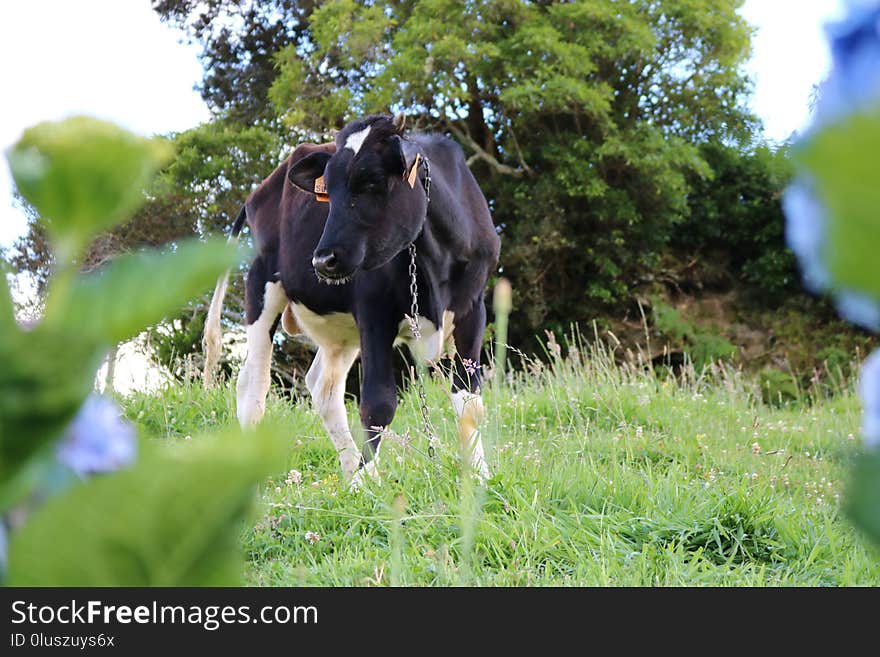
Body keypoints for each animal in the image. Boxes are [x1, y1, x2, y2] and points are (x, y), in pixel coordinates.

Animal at [202, 113, 498, 484]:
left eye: (372, 180)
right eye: (327, 191)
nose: (322, 260)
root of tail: (258, 191)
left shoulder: (473, 309)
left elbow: (470, 399)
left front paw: (481, 476)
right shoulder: (374, 312)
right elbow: (378, 402)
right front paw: (365, 481)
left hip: (340, 332)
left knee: (323, 389)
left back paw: (347, 468)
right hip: (261, 286)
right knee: (253, 385)